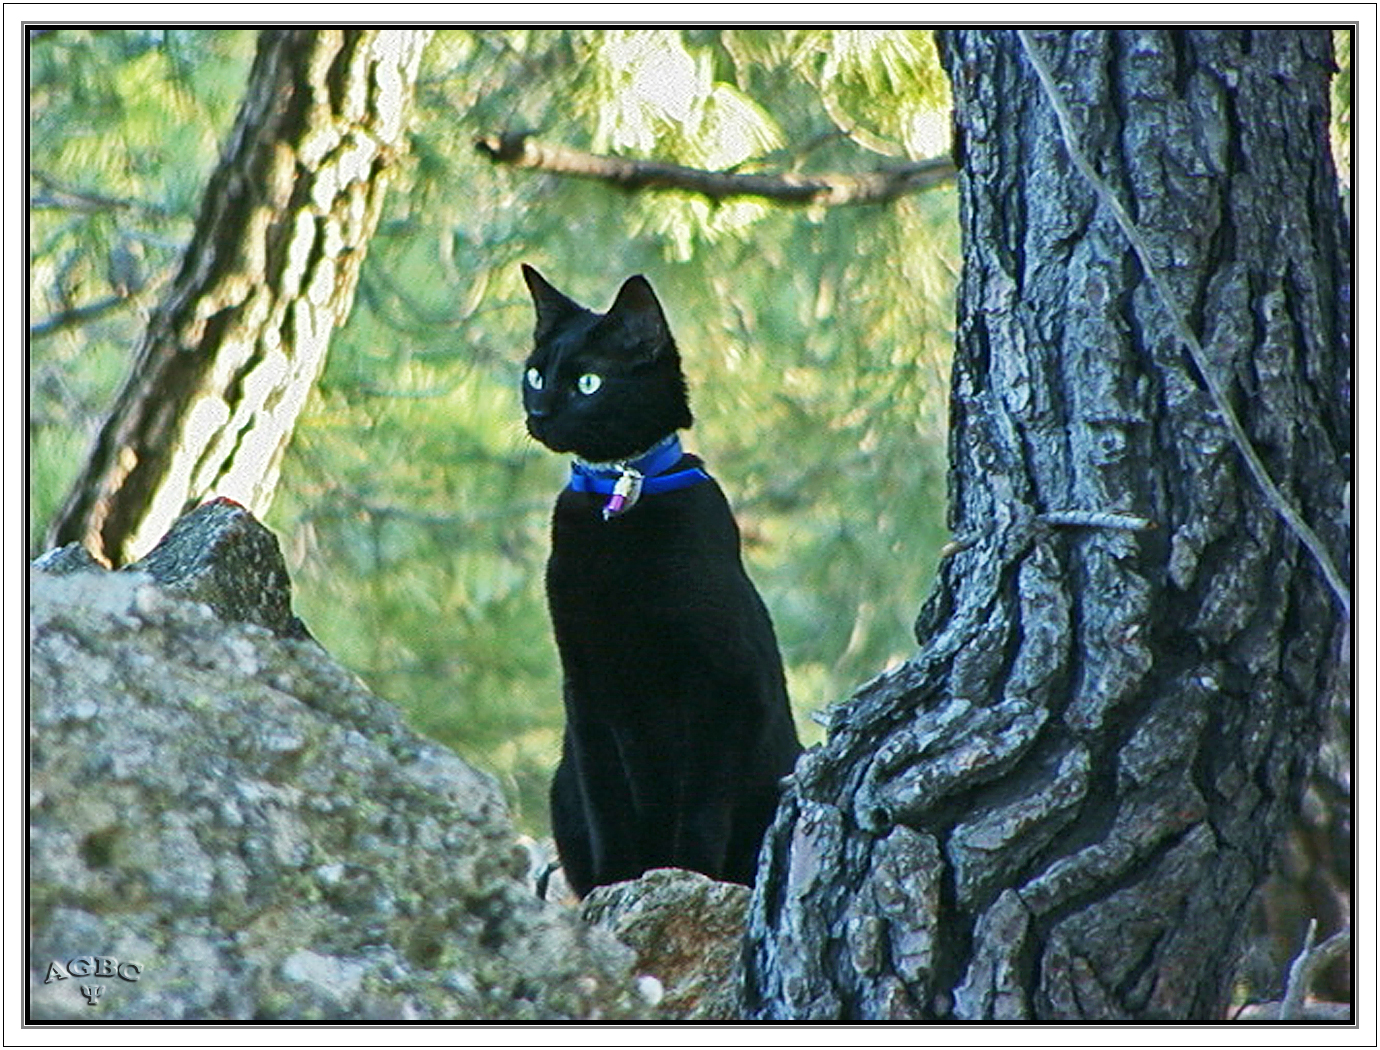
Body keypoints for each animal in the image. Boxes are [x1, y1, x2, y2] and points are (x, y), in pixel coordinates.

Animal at [518, 266, 805, 899]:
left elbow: (701, 800)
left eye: (589, 383)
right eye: (535, 374)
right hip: (562, 778)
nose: (540, 412)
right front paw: (618, 879)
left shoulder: (724, 684)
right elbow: (607, 799)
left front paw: (686, 873)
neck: (620, 499)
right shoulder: (587, 686)